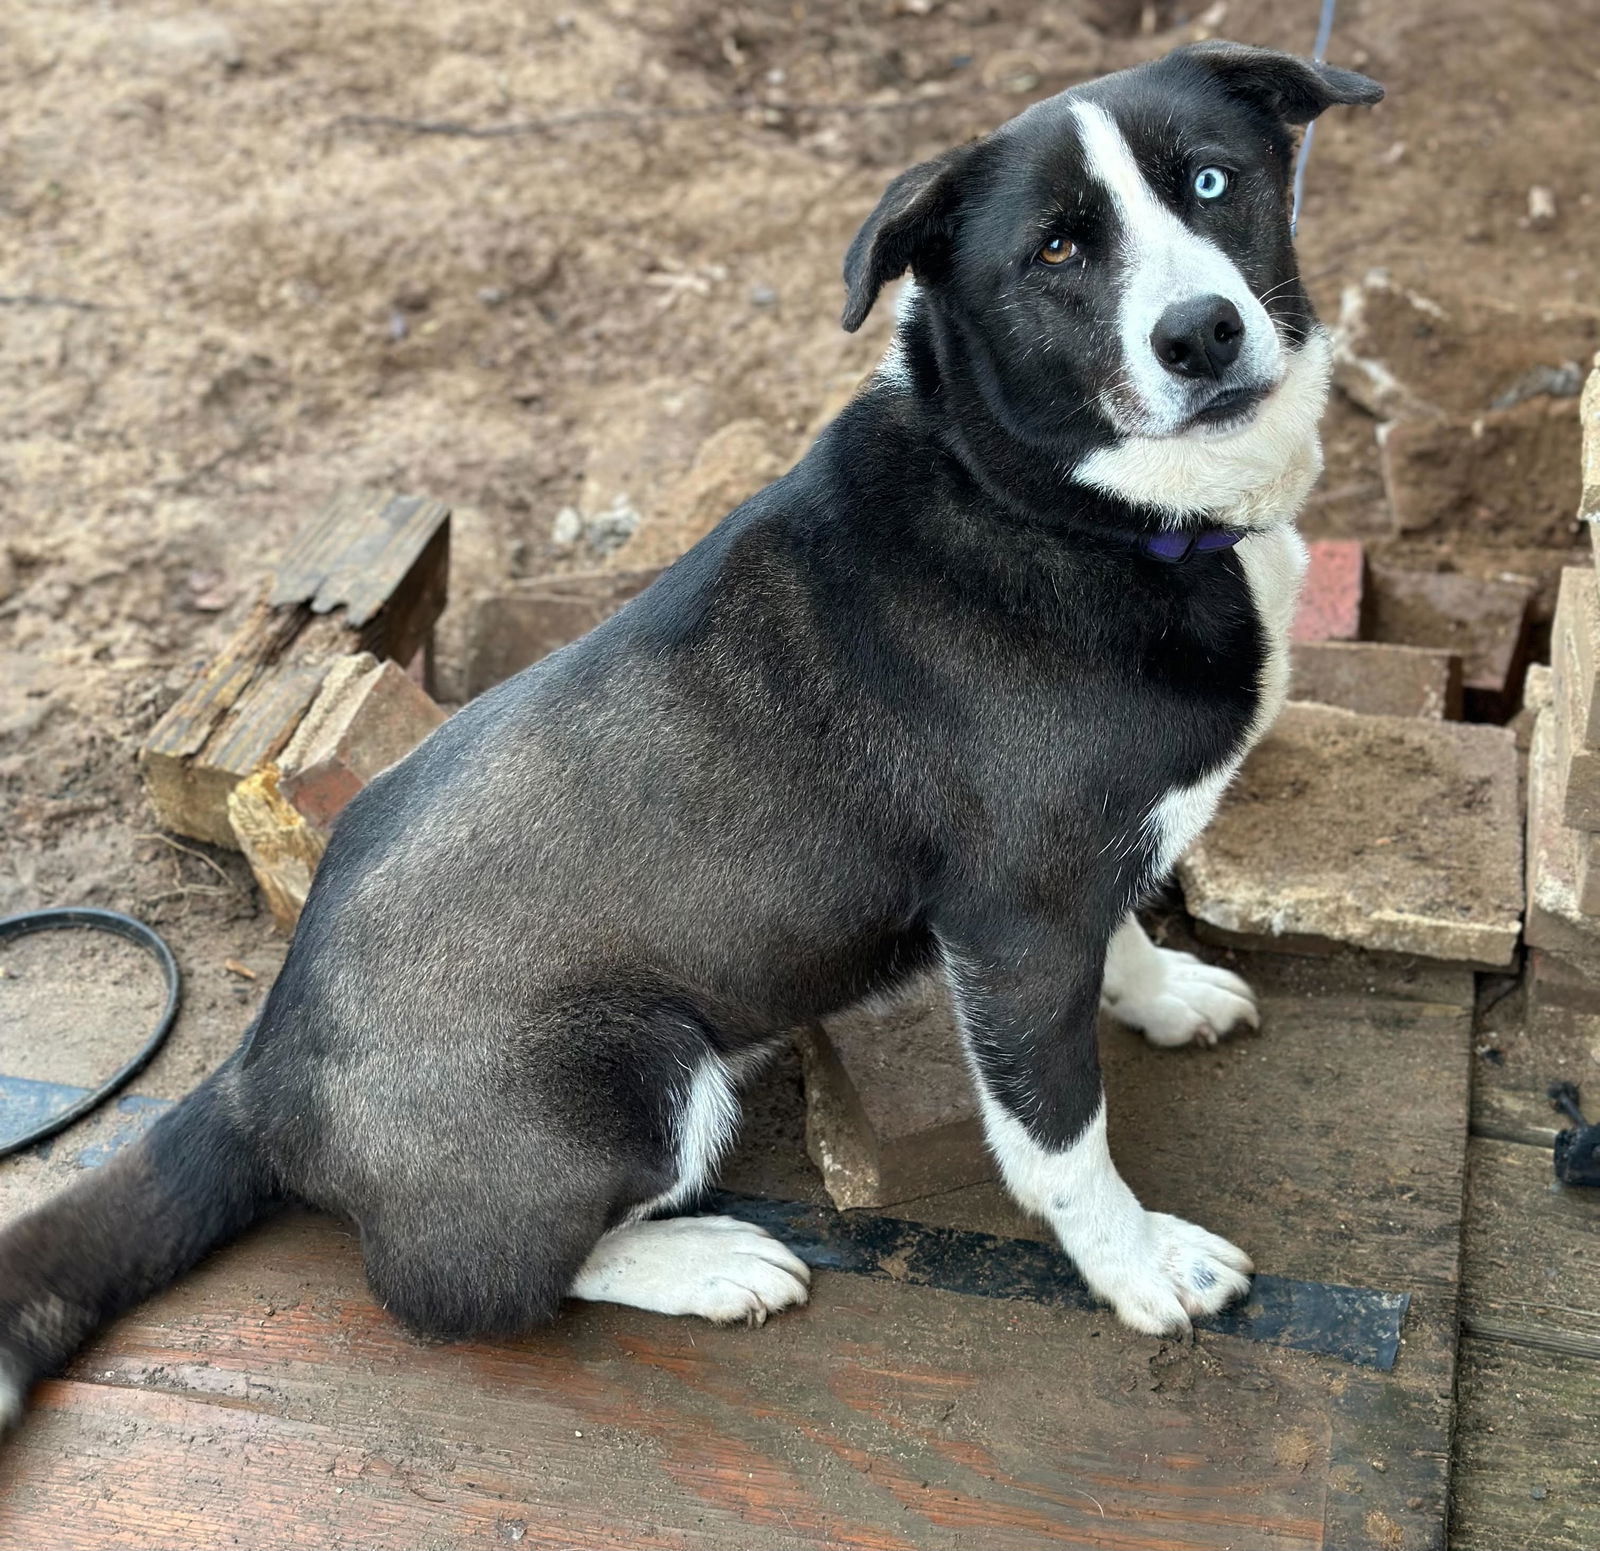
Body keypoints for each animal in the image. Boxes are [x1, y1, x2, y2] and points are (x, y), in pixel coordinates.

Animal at [0, 42, 1376, 1421]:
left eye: (1213, 180)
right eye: (1053, 250)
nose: (1200, 333)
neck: (1058, 506)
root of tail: (262, 1073)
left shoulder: (1071, 876)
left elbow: (1124, 930)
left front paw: (1164, 993)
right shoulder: (1017, 915)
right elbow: (1057, 1137)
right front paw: (1139, 1267)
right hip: (638, 1071)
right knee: (474, 1291)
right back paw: (704, 1264)